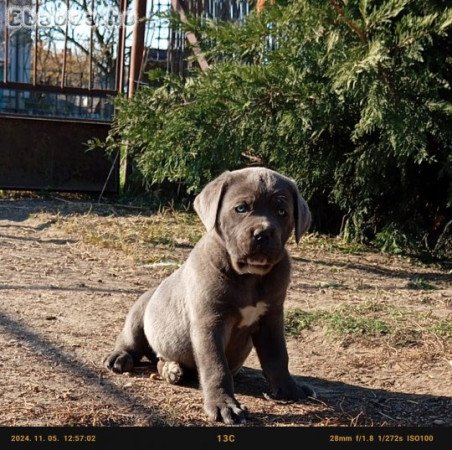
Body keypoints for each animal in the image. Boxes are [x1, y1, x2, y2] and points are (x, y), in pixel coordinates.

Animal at [103, 167, 312, 424]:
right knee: (131, 341)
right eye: (241, 208)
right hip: (139, 311)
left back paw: (172, 370)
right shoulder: (210, 322)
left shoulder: (271, 318)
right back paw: (121, 358)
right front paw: (224, 405)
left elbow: (278, 357)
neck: (249, 276)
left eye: (282, 212)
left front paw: (290, 389)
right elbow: (216, 366)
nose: (263, 233)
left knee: (161, 361)